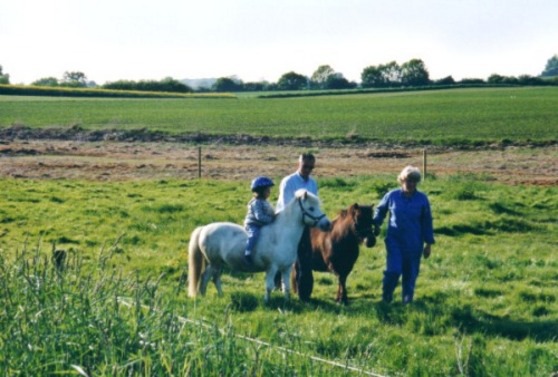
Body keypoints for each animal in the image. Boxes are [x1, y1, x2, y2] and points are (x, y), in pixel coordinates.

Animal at [188, 189, 332, 302]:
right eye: (311, 208)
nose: (327, 224)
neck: (281, 235)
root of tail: (204, 228)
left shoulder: (286, 268)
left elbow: (286, 287)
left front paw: (287, 301)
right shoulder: (272, 268)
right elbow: (269, 286)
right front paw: (267, 302)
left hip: (218, 263)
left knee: (215, 278)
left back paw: (220, 295)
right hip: (214, 262)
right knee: (205, 277)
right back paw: (203, 296)